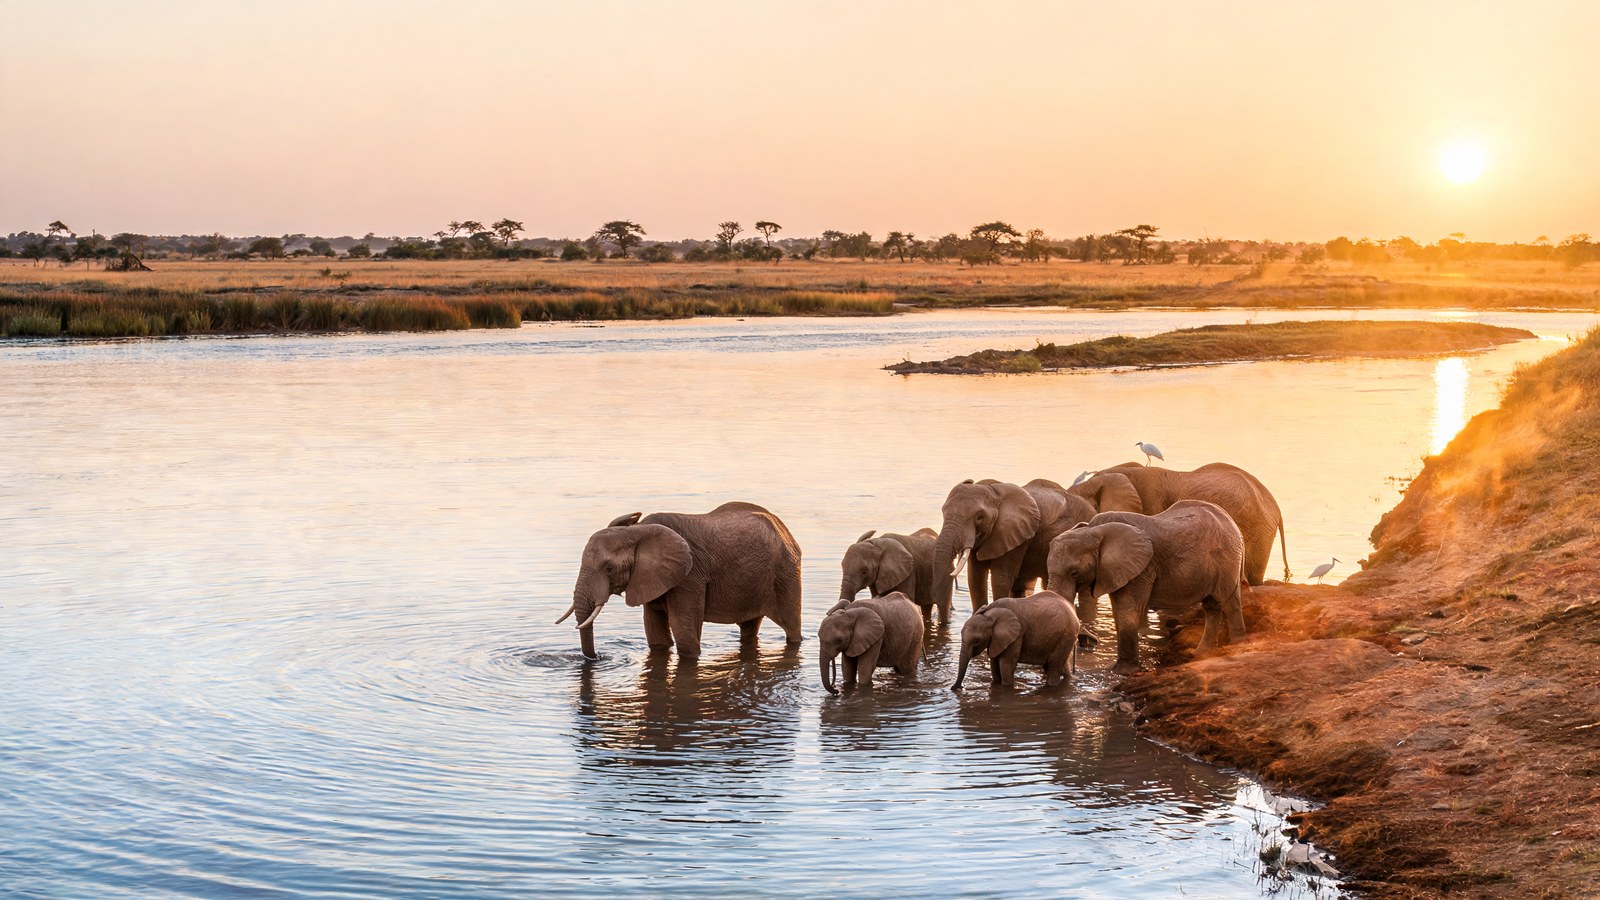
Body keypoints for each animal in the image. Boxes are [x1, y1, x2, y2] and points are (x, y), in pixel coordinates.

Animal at [556, 502, 803, 659]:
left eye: (609, 568)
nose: (598, 658)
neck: (637, 530)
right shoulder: (649, 578)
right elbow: (656, 636)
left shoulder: (689, 576)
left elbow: (685, 637)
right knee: (749, 629)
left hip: (786, 572)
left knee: (791, 628)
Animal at [930, 478, 1099, 615]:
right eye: (943, 512)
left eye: (979, 517)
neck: (993, 491)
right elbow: (975, 579)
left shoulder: (1018, 537)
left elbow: (1000, 579)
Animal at [951, 590, 1080, 690]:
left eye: (976, 641)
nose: (959, 688)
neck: (990, 613)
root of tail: (1074, 612)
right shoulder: (996, 639)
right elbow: (994, 664)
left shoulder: (1017, 635)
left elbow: (1006, 664)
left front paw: (1007, 687)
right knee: (1059, 665)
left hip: (1067, 634)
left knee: (1053, 665)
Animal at [1048, 499, 1246, 675]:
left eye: (1074, 573)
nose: (1090, 642)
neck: (1093, 530)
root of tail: (1231, 521)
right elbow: (1118, 610)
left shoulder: (1142, 569)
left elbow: (1128, 609)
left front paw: (1123, 672)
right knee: (1212, 606)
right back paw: (1201, 654)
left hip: (1227, 559)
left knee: (1229, 602)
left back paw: (1238, 648)